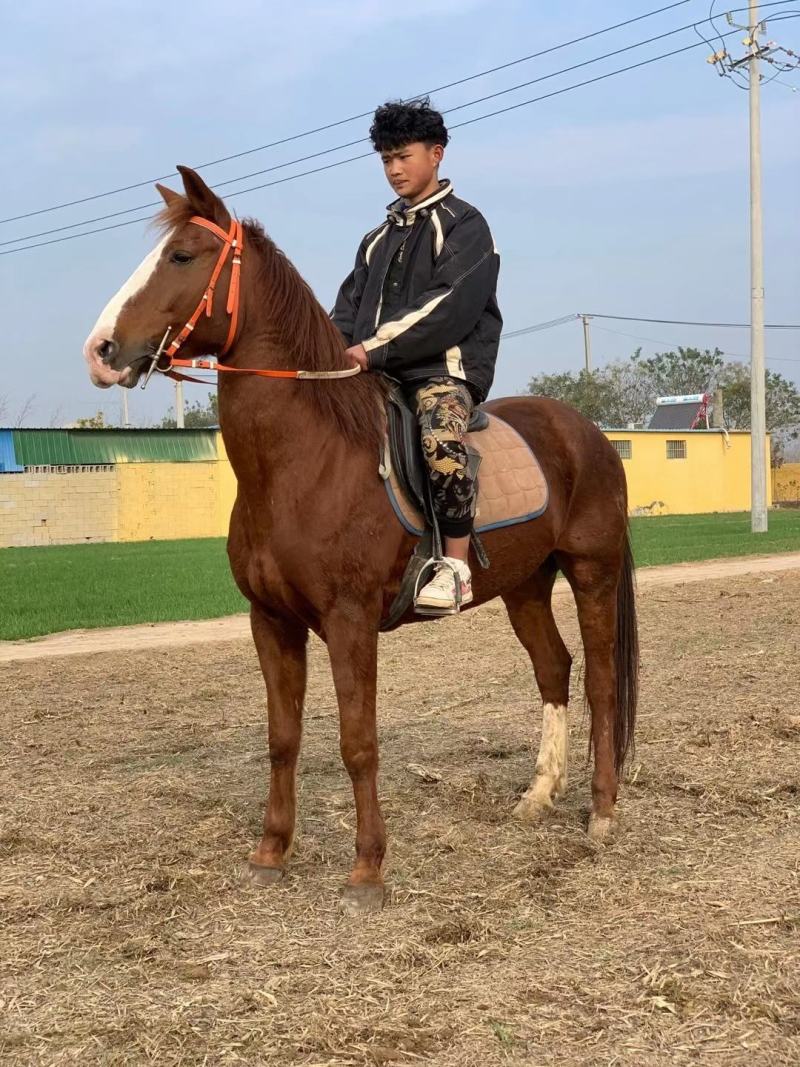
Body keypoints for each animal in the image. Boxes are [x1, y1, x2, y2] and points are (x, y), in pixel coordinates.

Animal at [83, 166, 638, 914]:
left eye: (182, 256)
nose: (101, 351)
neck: (305, 462)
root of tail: (590, 435)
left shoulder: (350, 623)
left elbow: (357, 742)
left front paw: (368, 870)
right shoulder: (271, 620)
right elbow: (284, 737)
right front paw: (271, 852)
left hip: (591, 571)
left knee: (603, 684)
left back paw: (602, 813)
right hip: (525, 584)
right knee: (554, 669)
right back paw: (538, 795)